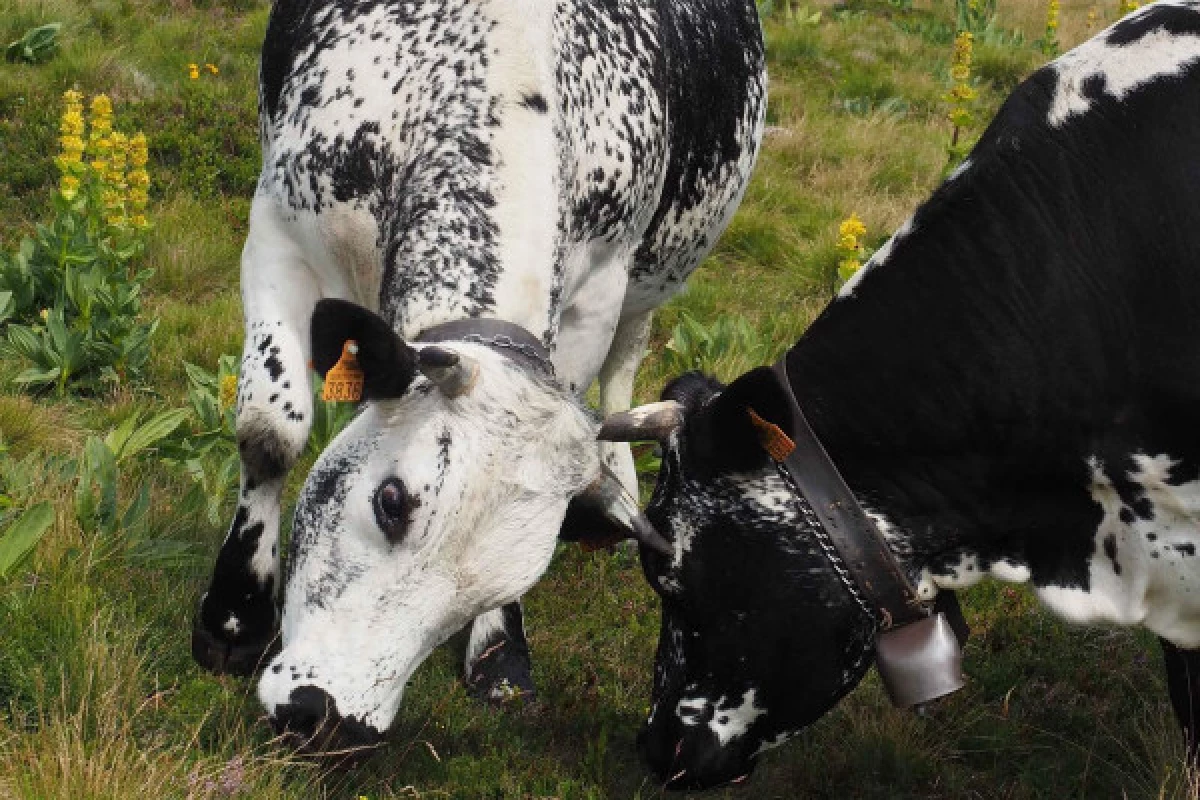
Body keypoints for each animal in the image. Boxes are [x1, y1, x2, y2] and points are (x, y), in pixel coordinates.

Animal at [190, 0, 763, 758]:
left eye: (502, 584)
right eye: (393, 501)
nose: (329, 717)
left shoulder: (596, 302)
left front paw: (501, 648)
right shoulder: (280, 232)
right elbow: (270, 430)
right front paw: (234, 617)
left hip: (659, 272)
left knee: (628, 361)